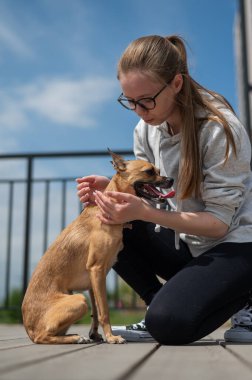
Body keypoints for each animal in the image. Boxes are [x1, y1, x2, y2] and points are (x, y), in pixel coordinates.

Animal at [21, 151, 174, 344]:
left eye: (159, 171)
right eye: (149, 172)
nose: (171, 180)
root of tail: (29, 330)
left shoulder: (93, 280)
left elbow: (96, 311)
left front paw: (96, 334)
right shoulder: (97, 270)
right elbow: (104, 311)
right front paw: (111, 337)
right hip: (78, 300)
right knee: (42, 336)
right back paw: (75, 338)